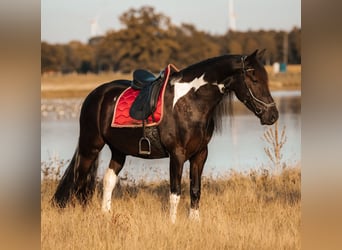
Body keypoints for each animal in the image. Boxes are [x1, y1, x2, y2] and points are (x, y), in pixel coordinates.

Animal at [52, 48, 278, 223]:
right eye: (254, 79)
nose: (273, 115)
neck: (190, 102)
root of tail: (95, 94)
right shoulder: (177, 154)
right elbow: (175, 192)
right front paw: (173, 223)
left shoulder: (200, 154)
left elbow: (195, 189)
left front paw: (194, 222)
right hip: (90, 146)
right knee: (79, 180)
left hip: (118, 151)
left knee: (108, 180)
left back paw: (106, 214)